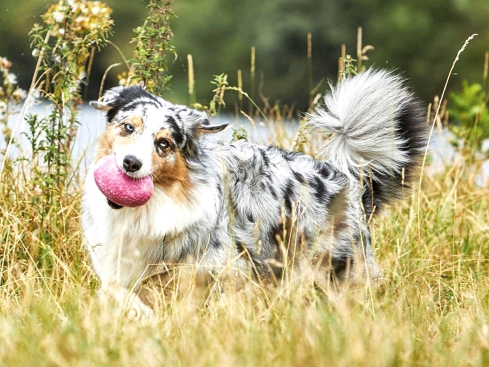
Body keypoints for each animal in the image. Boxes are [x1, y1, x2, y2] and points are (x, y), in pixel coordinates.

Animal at [82, 70, 426, 318]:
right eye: (128, 127)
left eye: (163, 143)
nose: (131, 163)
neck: (149, 209)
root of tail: (349, 182)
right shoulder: (118, 267)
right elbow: (115, 290)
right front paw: (138, 313)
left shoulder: (221, 270)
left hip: (341, 269)